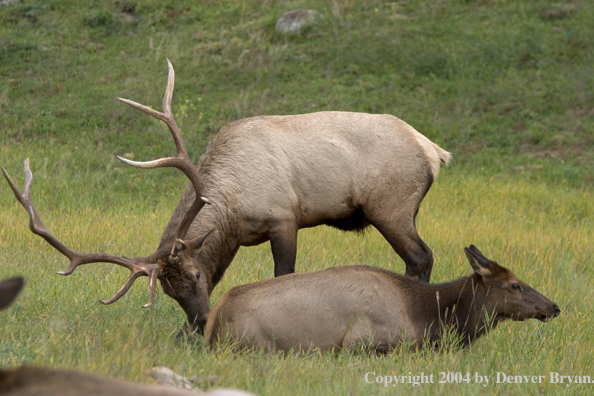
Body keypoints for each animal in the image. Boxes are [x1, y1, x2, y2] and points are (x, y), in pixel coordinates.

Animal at [2, 58, 448, 334]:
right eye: (170, 292)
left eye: (196, 276)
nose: (200, 322)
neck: (233, 205)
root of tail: (434, 151)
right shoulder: (236, 238)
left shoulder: (284, 216)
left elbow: (283, 274)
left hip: (390, 204)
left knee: (421, 256)